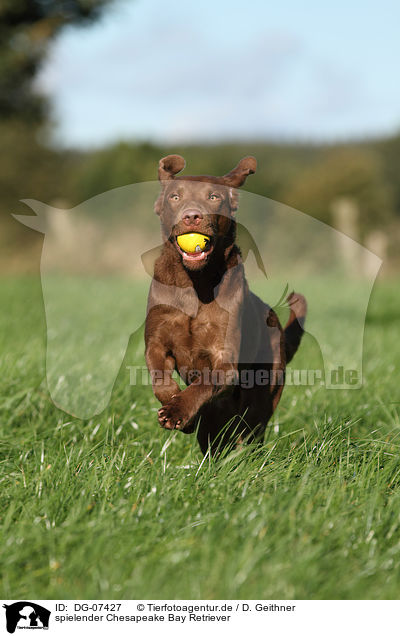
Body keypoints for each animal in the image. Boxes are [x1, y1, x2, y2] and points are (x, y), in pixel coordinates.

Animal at [145, 153, 304, 452]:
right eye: (175, 196)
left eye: (213, 196)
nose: (191, 216)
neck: (196, 283)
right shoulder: (157, 343)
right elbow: (159, 376)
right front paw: (175, 408)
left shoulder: (225, 359)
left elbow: (205, 383)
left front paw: (178, 411)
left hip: (262, 393)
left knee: (249, 433)